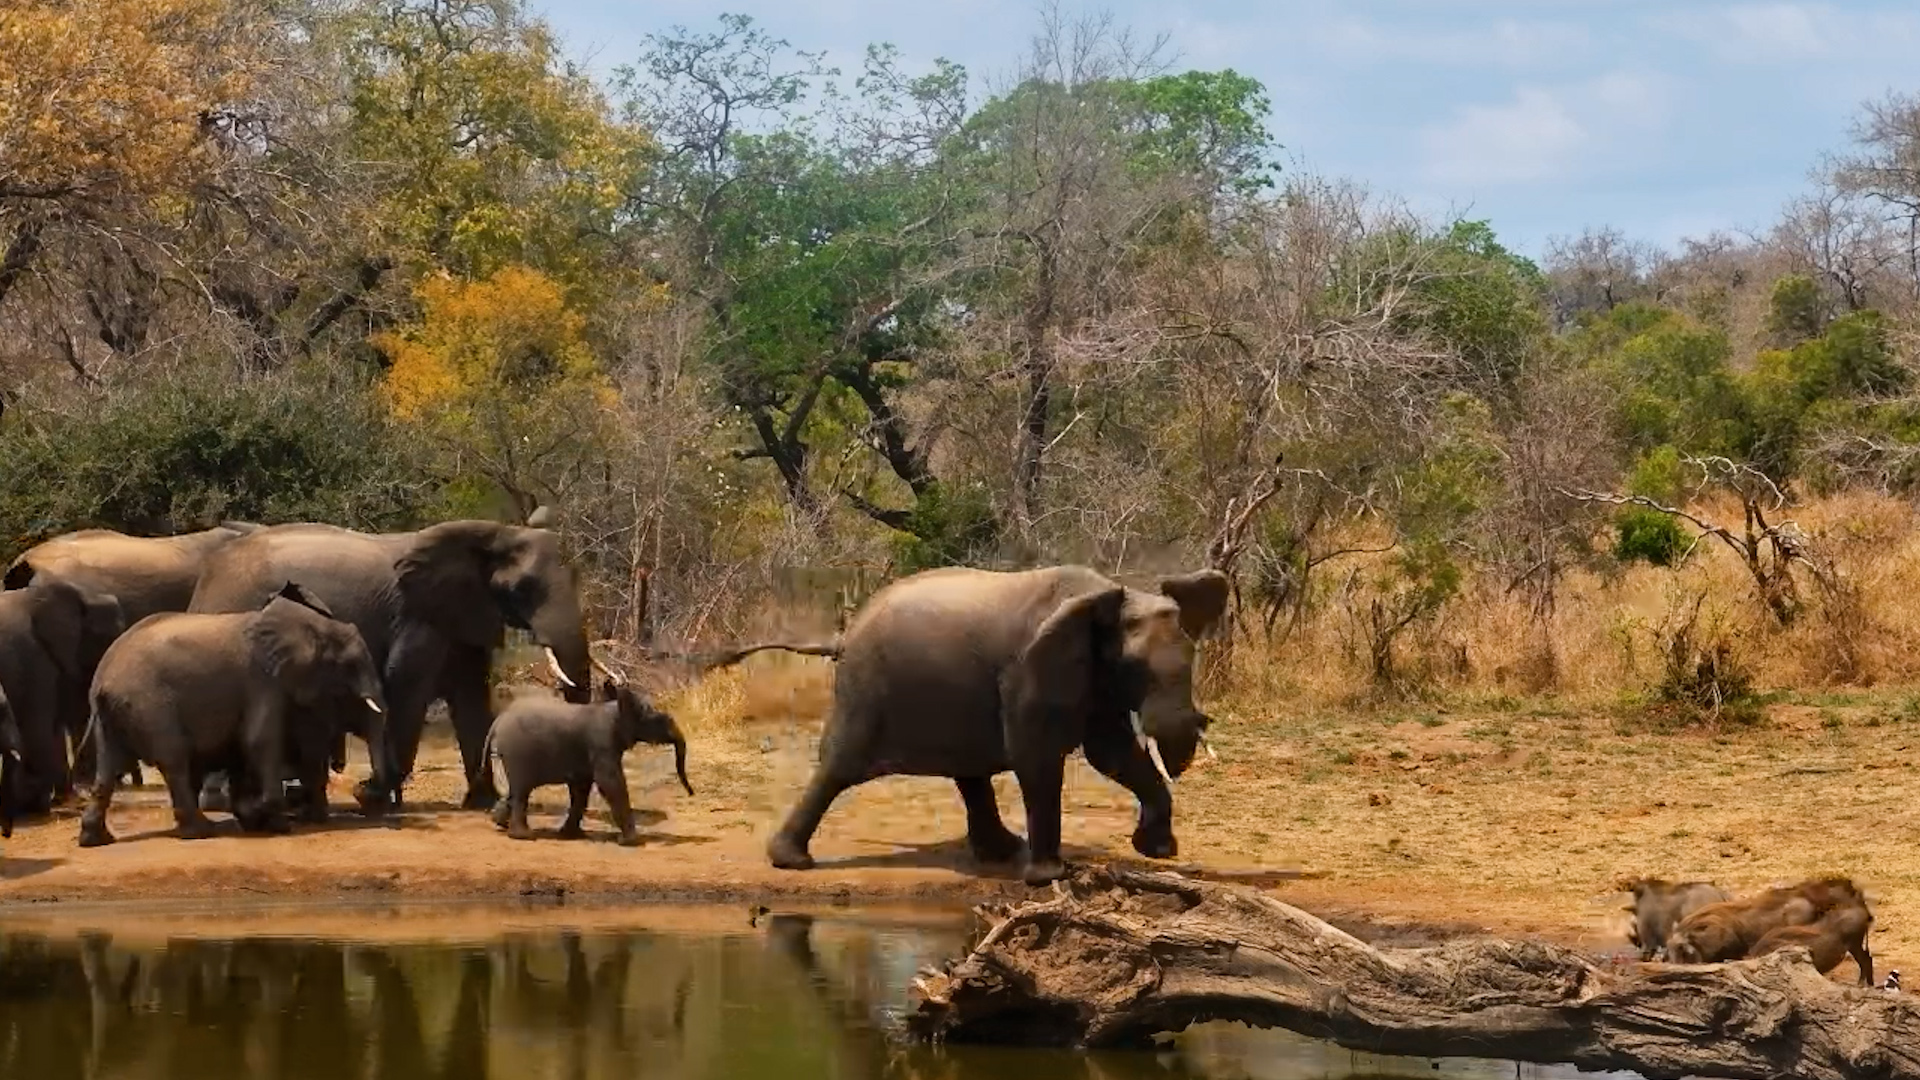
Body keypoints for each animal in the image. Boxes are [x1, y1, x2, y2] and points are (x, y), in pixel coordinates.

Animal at [78, 583, 390, 847]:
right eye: (351, 665)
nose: (362, 789)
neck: (313, 625)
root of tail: (103, 679)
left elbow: (248, 746)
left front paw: (257, 819)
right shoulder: (263, 680)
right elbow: (259, 740)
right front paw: (276, 823)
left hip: (114, 715)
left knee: (107, 767)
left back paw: (95, 839)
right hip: (151, 705)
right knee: (175, 759)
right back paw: (200, 831)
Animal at [186, 518, 593, 811]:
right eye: (522, 589)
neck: (497, 531)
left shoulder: (463, 615)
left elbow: (472, 697)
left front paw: (480, 804)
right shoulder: (417, 616)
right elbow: (406, 687)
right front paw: (373, 798)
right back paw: (221, 802)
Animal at [483, 677, 692, 845]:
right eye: (659, 720)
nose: (691, 793)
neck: (615, 709)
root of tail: (497, 721)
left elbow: (582, 788)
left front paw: (570, 835)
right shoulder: (602, 743)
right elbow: (610, 783)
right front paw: (629, 842)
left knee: (515, 790)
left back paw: (499, 822)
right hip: (517, 753)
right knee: (522, 791)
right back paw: (523, 836)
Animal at [722, 564, 1230, 886]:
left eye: (1192, 657)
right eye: (1133, 667)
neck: (1109, 595)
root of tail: (844, 635)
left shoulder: (1090, 675)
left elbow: (1113, 754)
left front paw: (1157, 852)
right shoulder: (1029, 671)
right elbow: (1037, 760)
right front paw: (1049, 878)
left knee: (969, 773)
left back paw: (1002, 852)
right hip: (866, 690)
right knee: (838, 768)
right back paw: (791, 862)